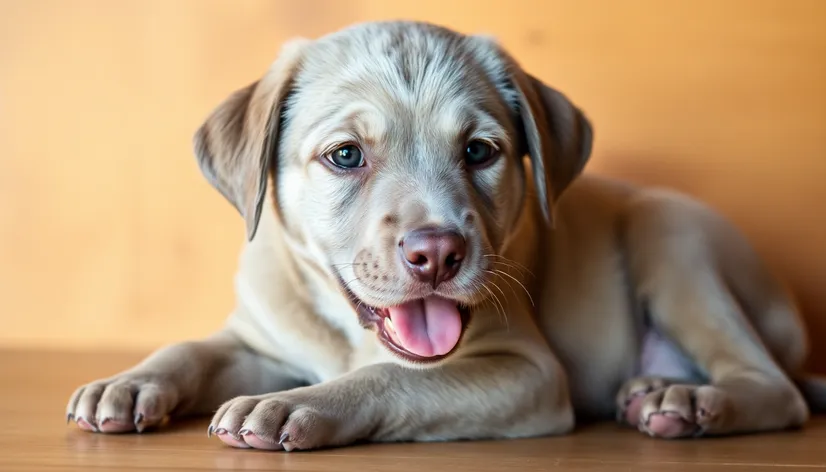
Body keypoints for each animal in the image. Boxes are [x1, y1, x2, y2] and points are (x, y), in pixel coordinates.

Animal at [66, 21, 824, 450]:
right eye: (346, 155)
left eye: (480, 152)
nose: (437, 255)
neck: (341, 331)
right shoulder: (259, 341)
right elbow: (190, 348)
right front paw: (129, 384)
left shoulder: (525, 371)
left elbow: (392, 380)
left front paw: (298, 405)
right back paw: (655, 390)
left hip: (672, 236)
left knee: (772, 387)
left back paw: (690, 402)